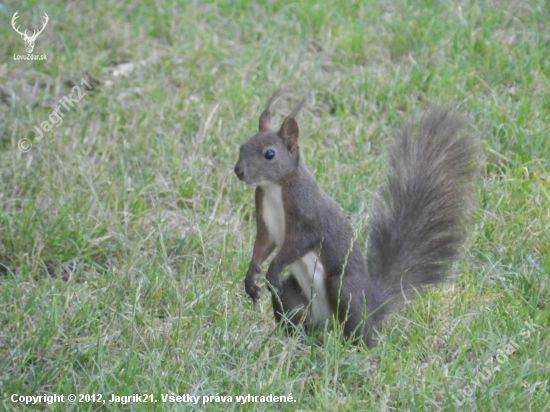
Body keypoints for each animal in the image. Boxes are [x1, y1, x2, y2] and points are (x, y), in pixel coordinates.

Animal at [235, 91, 480, 346]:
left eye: (269, 154)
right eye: (242, 147)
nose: (238, 171)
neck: (274, 187)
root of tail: (372, 306)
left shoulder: (309, 217)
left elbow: (299, 243)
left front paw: (273, 269)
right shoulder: (266, 219)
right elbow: (263, 245)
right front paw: (251, 276)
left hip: (345, 289)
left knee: (360, 329)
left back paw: (356, 345)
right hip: (291, 297)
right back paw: (293, 339)